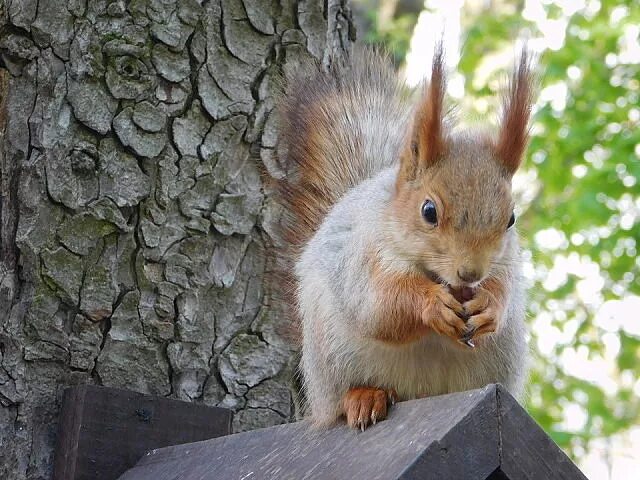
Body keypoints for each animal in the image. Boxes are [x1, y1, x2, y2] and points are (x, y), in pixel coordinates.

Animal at [278, 44, 532, 432]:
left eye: (511, 219)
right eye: (428, 211)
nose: (470, 273)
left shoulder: (505, 263)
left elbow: (503, 289)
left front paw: (489, 306)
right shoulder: (364, 254)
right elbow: (381, 305)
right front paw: (432, 304)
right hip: (330, 357)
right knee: (342, 398)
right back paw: (363, 398)